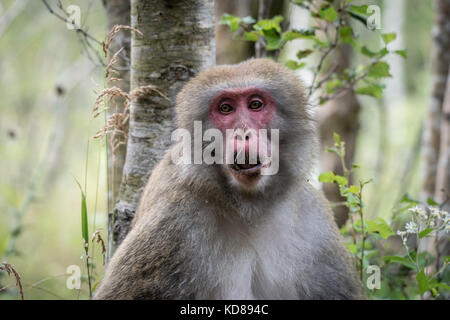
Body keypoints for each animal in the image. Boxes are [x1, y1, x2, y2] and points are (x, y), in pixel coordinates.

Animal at [93, 58, 364, 300]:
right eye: (226, 109)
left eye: (255, 105)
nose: (243, 134)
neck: (247, 208)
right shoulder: (171, 220)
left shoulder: (313, 217)